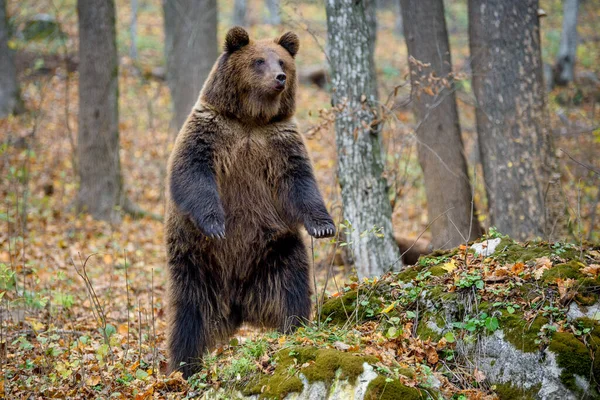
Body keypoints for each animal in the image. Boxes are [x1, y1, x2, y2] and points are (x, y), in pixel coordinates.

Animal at [166, 26, 336, 376]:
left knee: (292, 287)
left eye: (282, 60)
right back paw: (184, 366)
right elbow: (191, 171)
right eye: (259, 60)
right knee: (190, 314)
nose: (280, 77)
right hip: (195, 259)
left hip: (275, 250)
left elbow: (301, 183)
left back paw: (296, 327)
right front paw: (216, 224)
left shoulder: (280, 141)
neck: (251, 119)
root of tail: (237, 307)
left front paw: (324, 227)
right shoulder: (210, 131)